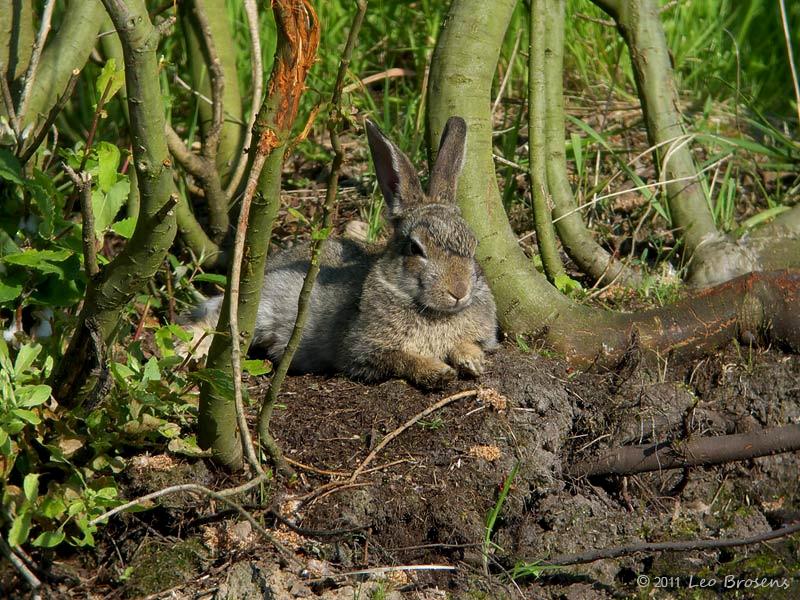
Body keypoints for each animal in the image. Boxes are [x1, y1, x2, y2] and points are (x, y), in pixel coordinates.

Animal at [190, 116, 496, 390]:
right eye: (415, 248)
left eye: (473, 245)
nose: (459, 291)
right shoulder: (364, 350)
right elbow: (401, 358)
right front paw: (437, 372)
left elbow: (467, 344)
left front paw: (472, 361)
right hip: (256, 308)